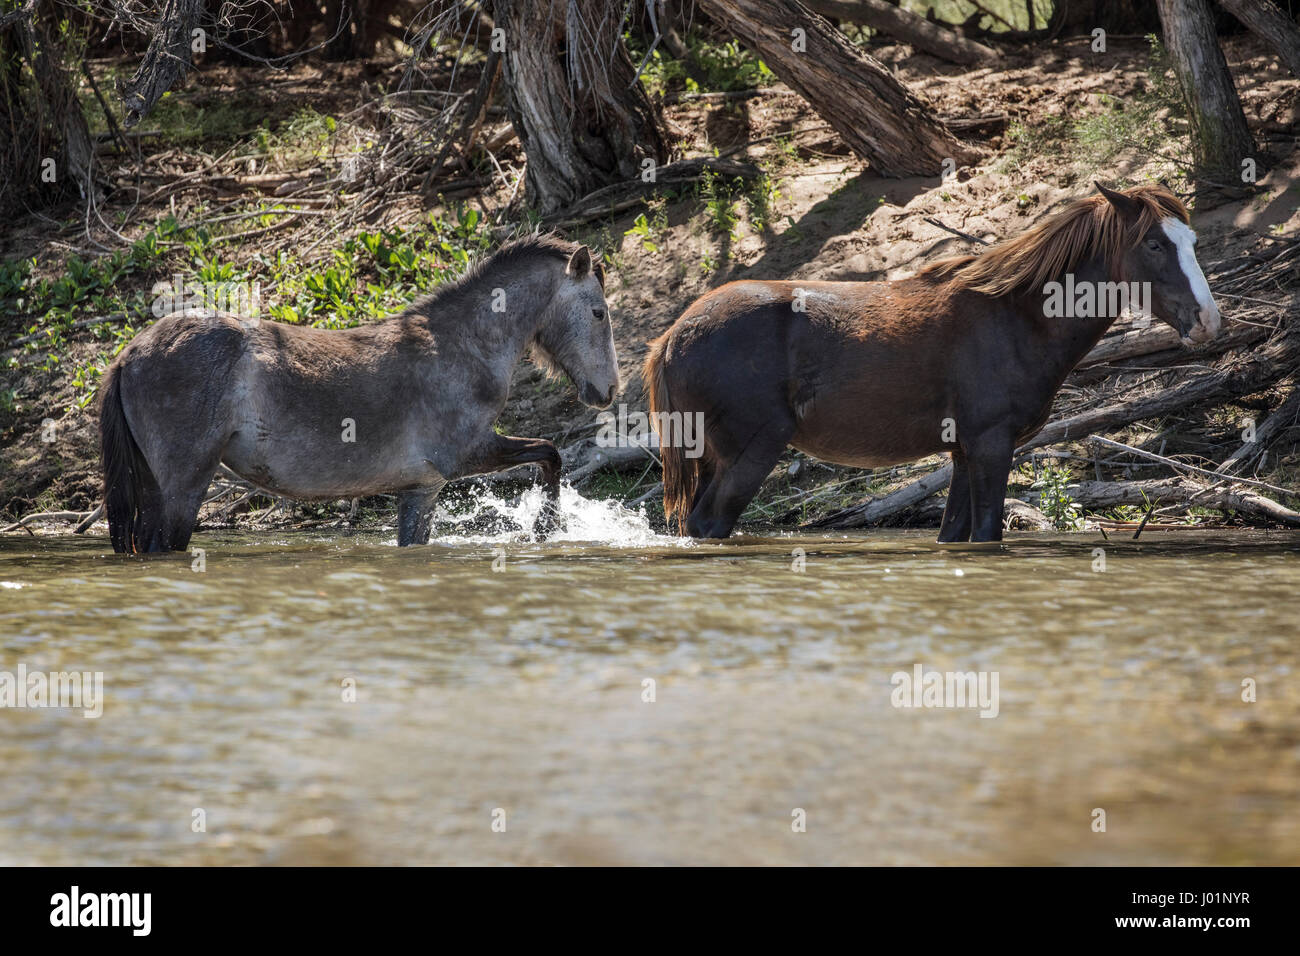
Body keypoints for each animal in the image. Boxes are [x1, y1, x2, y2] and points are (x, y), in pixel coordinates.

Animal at [101, 232, 618, 556]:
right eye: (598, 312)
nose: (610, 390)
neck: (463, 343)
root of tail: (131, 353)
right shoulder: (468, 454)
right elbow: (550, 454)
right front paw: (545, 528)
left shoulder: (422, 488)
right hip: (183, 487)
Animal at [644, 184, 1222, 541]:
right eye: (1154, 243)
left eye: (1191, 241)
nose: (1208, 319)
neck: (1016, 317)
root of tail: (673, 335)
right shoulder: (991, 444)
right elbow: (987, 532)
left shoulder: (963, 452)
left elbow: (955, 535)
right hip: (752, 451)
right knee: (708, 525)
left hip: (713, 457)